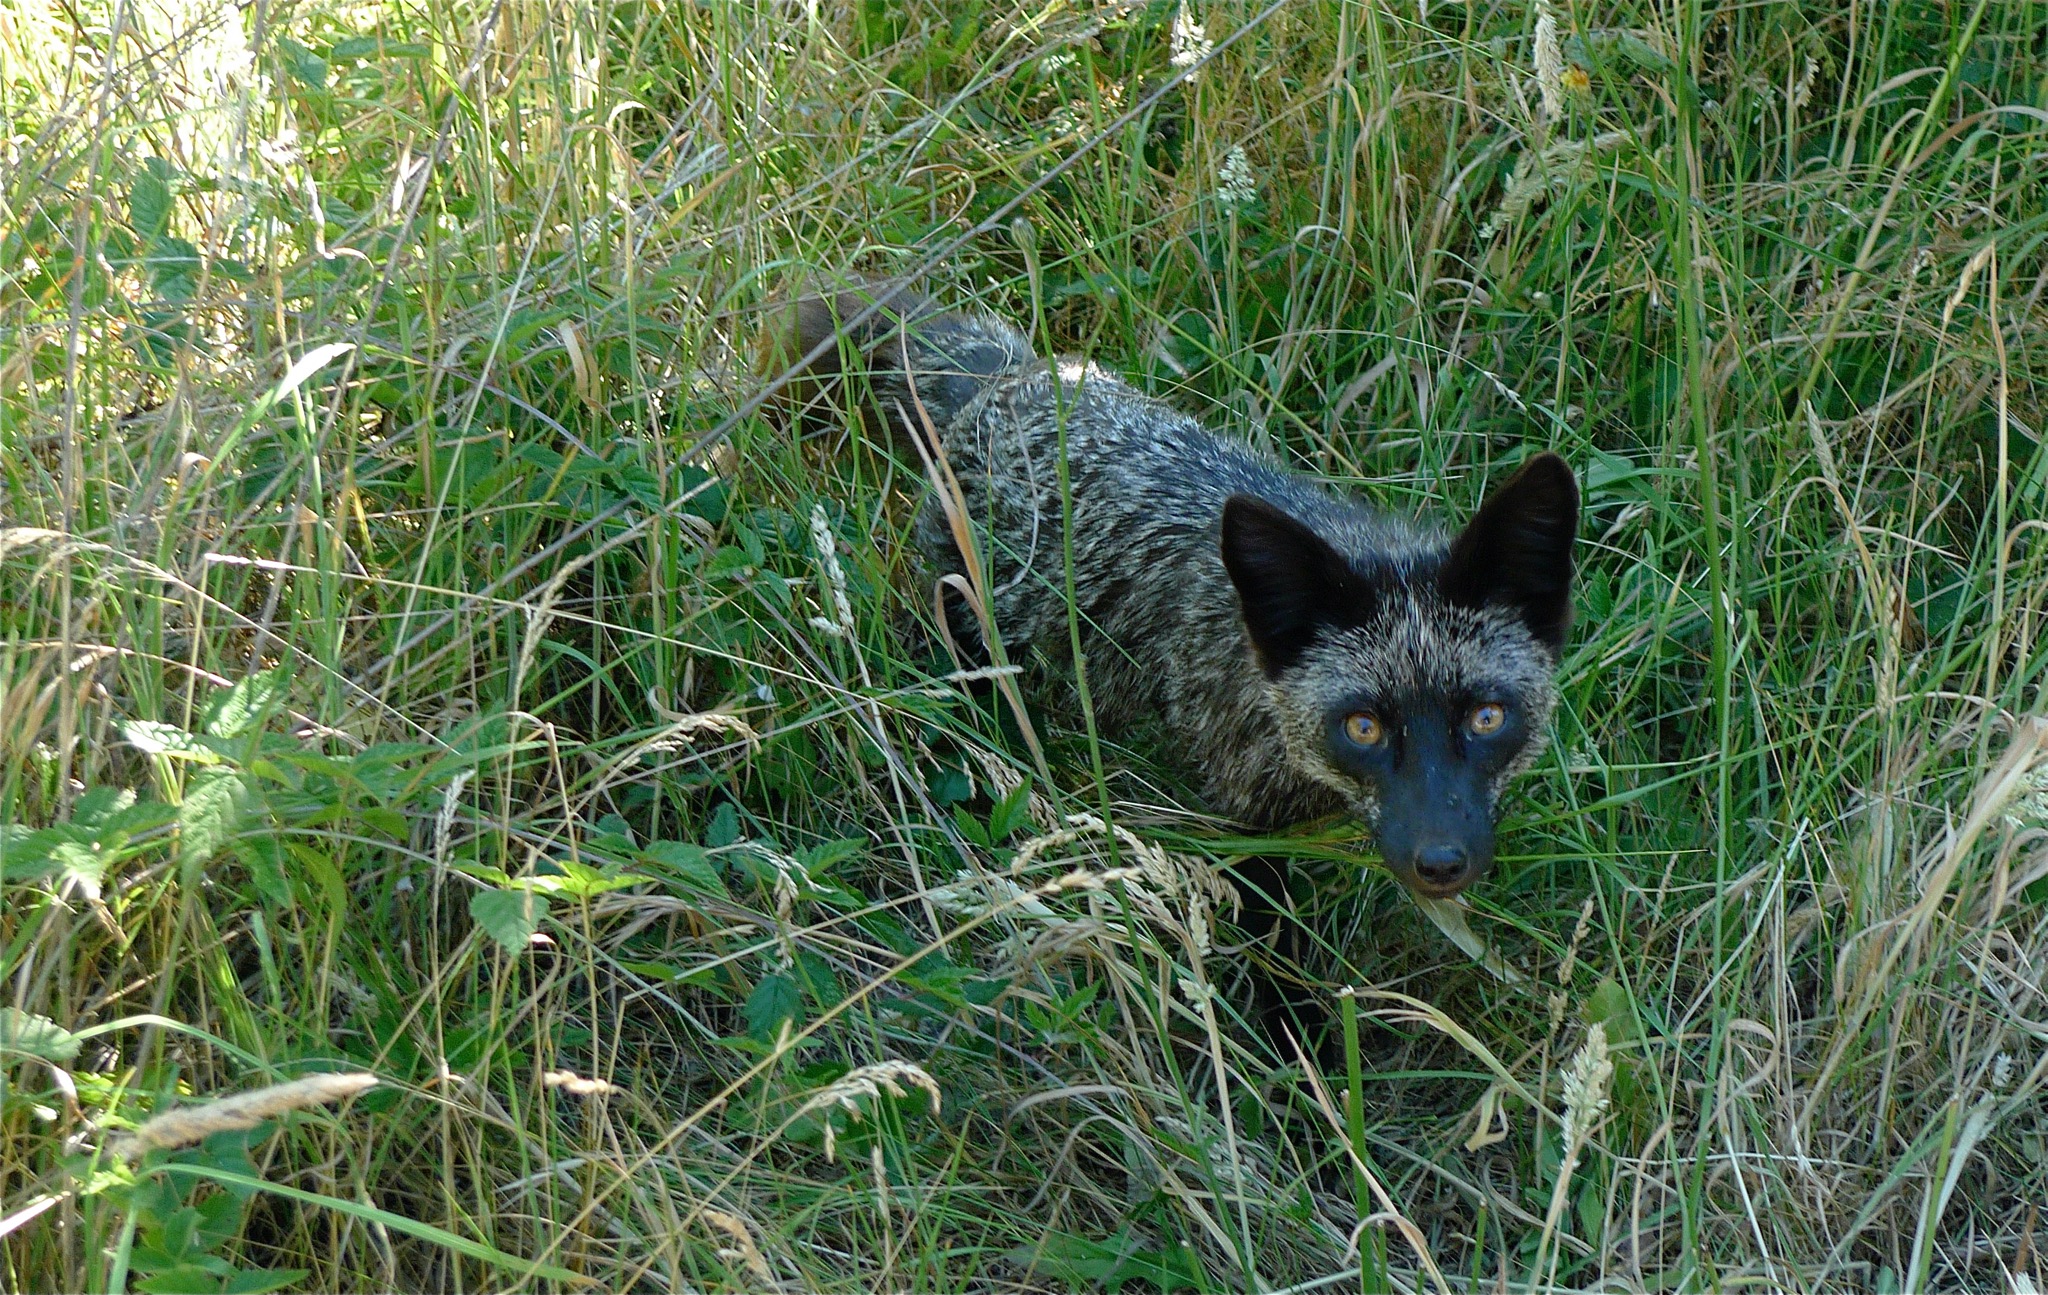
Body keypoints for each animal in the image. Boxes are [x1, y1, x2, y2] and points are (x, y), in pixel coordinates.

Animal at [765, 279, 1577, 953]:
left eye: (1487, 718)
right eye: (1364, 728)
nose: (1439, 863)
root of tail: (1018, 377)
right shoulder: (1242, 820)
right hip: (972, 643)